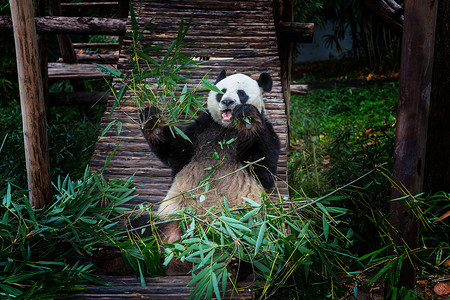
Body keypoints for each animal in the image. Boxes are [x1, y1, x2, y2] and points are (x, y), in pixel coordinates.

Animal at [141, 69, 282, 274]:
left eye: (241, 93)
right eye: (220, 92)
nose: (227, 102)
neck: (227, 128)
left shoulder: (267, 132)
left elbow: (264, 170)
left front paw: (248, 119)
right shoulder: (202, 128)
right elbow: (177, 152)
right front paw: (153, 122)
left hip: (246, 226)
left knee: (251, 245)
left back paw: (234, 264)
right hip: (167, 220)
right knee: (140, 230)